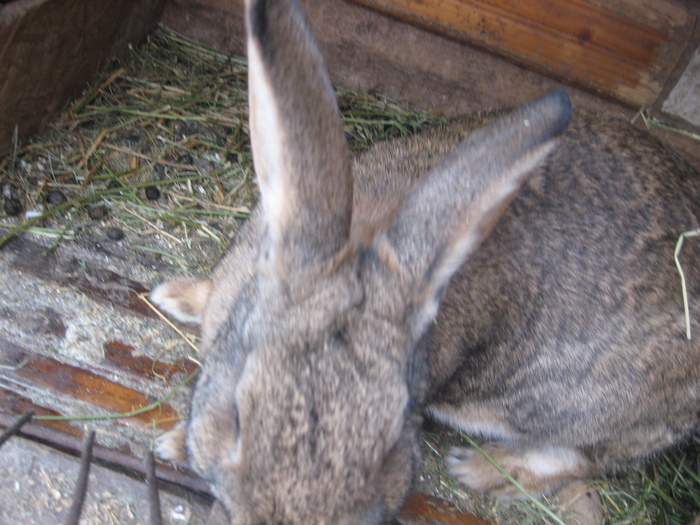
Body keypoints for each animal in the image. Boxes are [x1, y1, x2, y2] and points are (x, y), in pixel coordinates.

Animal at [150, 0, 700, 520]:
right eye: (239, 418)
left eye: (391, 446)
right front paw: (175, 296)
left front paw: (173, 442)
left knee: (590, 456)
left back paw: (483, 468)